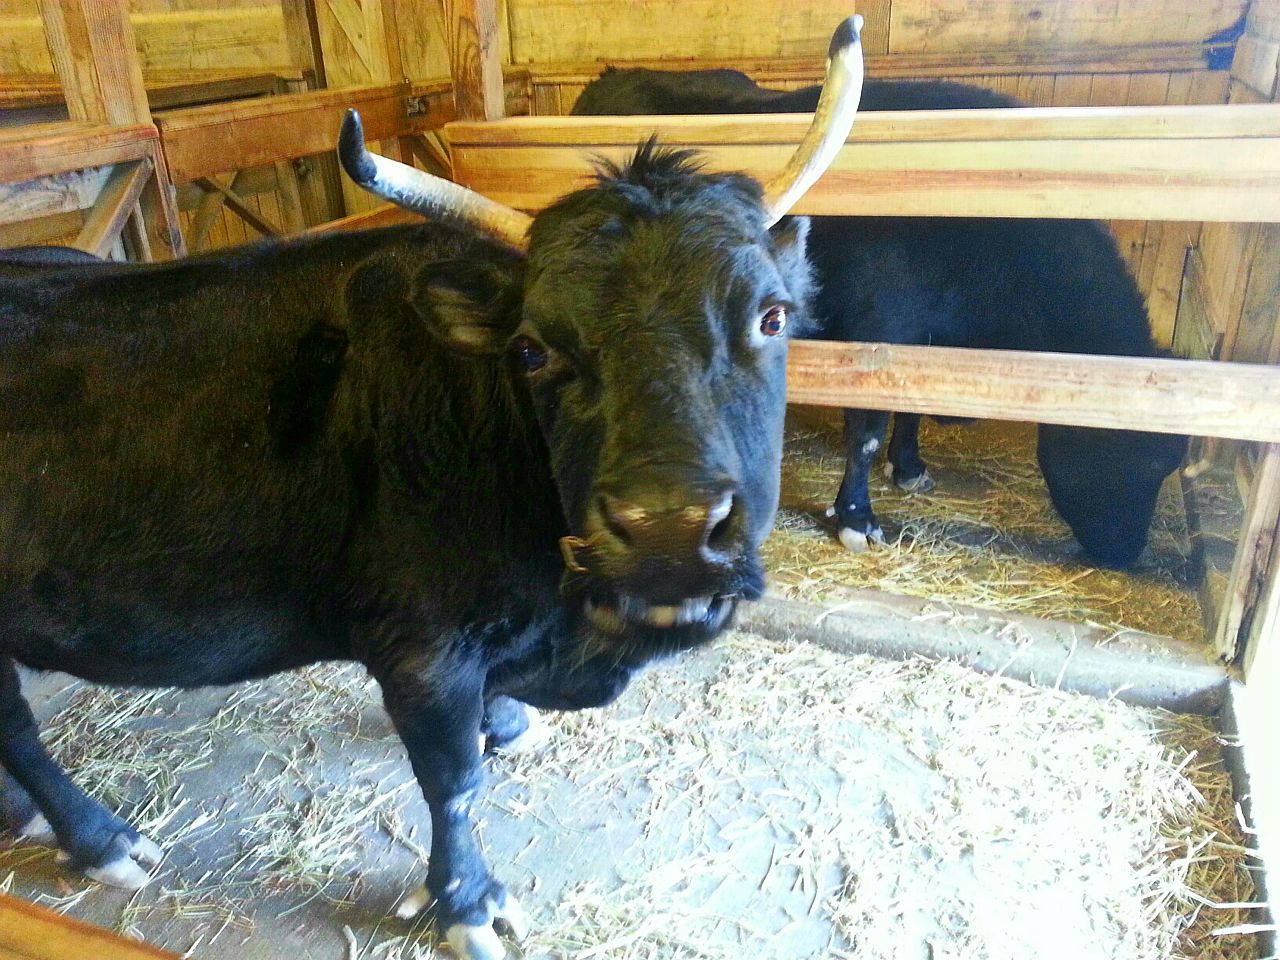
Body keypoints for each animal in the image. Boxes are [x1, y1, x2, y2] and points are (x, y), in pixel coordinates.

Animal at [0, 17, 865, 960]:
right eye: (532, 349)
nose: (668, 533)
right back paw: (98, 838)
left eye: (772, 315)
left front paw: (507, 726)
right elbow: (452, 784)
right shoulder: (419, 648)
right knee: (19, 729)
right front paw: (466, 903)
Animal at [574, 69, 1189, 569]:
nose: (1122, 555)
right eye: (1117, 452)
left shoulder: (918, 340)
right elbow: (866, 431)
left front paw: (909, 464)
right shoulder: (873, 332)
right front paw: (856, 517)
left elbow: (908, 407)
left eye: (1164, 466)